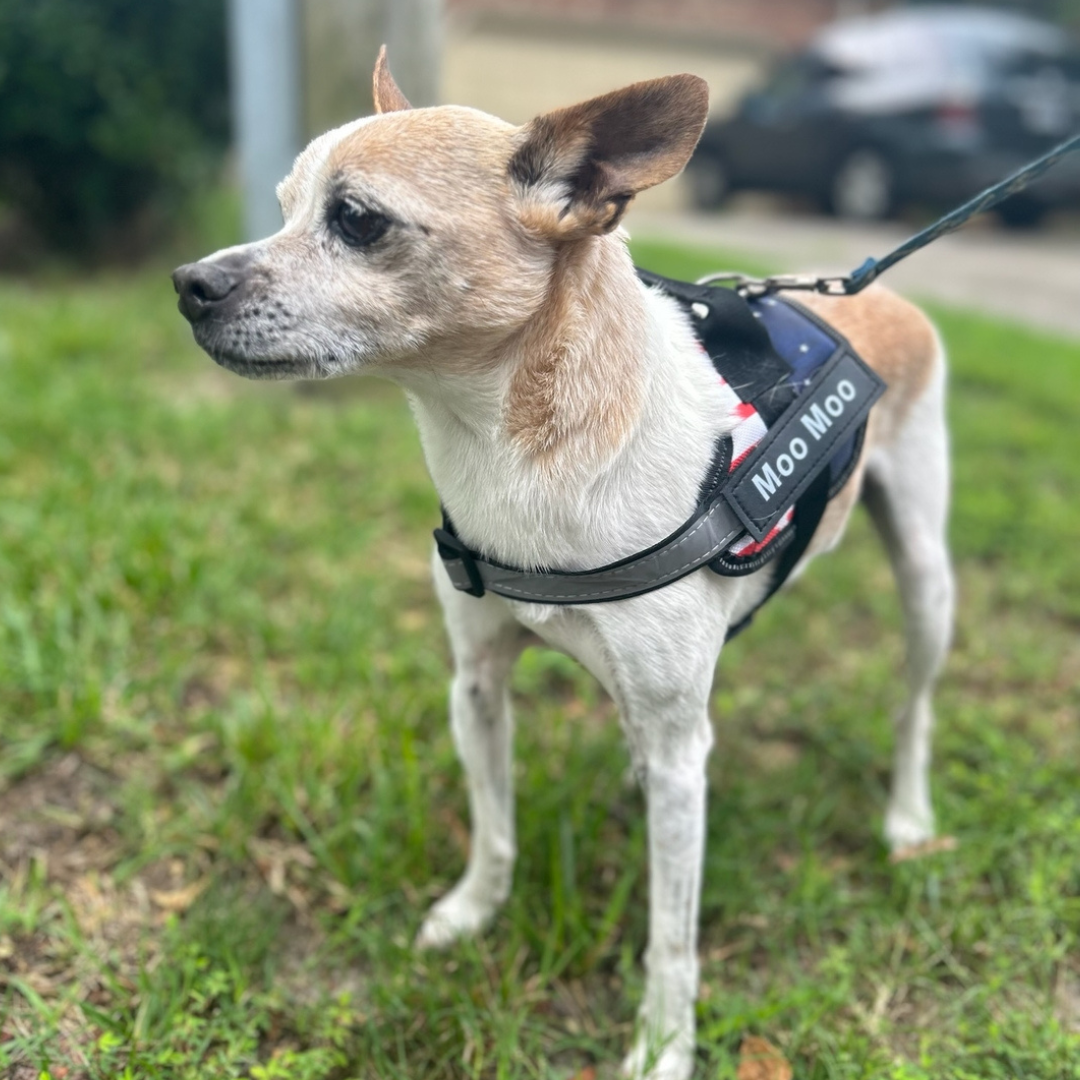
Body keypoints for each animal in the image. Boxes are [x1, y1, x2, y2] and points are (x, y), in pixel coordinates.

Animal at [172, 50, 959, 1080]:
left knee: (913, 709)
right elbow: (496, 829)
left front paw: (664, 1045)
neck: (514, 454)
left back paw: (907, 818)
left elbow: (672, 933)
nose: (189, 282)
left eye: (357, 220)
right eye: (281, 205)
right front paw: (471, 913)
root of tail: (879, 292)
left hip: (926, 585)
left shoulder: (681, 751)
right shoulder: (476, 683)